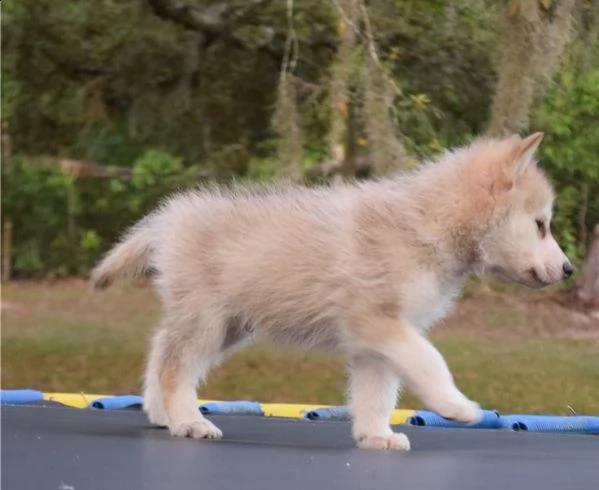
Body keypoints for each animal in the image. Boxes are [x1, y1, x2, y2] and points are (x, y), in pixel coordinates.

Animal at [92, 131, 572, 452]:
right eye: (541, 225)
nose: (568, 269)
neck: (426, 225)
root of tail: (171, 216)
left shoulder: (379, 341)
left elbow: (377, 393)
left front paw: (376, 436)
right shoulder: (380, 323)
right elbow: (430, 362)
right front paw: (455, 406)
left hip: (228, 325)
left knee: (162, 349)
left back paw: (161, 412)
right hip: (208, 321)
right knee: (176, 366)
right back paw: (189, 421)